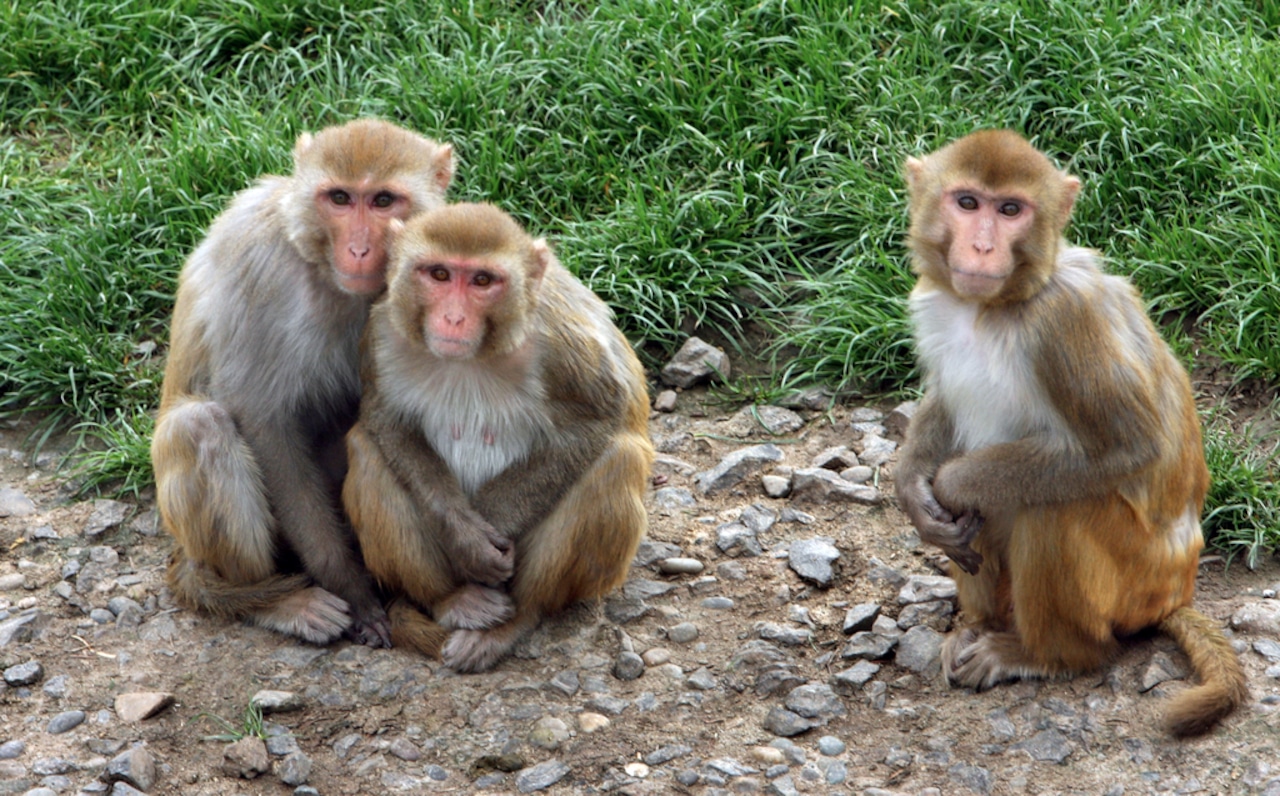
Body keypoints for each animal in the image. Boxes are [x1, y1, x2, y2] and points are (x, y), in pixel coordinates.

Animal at [151, 119, 458, 647]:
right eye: (339, 198)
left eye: (383, 200)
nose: (358, 249)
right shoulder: (259, 271)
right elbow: (263, 420)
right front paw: (350, 587)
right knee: (199, 424)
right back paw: (270, 600)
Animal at [341, 202, 653, 672]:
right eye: (439, 274)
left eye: (483, 281)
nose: (453, 317)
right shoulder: (382, 329)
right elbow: (385, 420)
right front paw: (466, 541)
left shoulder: (560, 342)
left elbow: (595, 421)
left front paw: (491, 530)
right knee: (365, 449)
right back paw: (453, 600)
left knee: (620, 458)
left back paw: (518, 619)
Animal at [894, 129, 1247, 737]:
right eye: (968, 202)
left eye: (1010, 210)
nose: (982, 247)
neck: (995, 307)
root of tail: (1176, 593)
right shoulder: (932, 301)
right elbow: (943, 397)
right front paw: (914, 487)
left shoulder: (1065, 319)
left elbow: (1130, 447)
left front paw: (951, 484)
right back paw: (980, 625)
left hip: (1132, 585)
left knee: (1054, 505)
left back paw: (1048, 655)